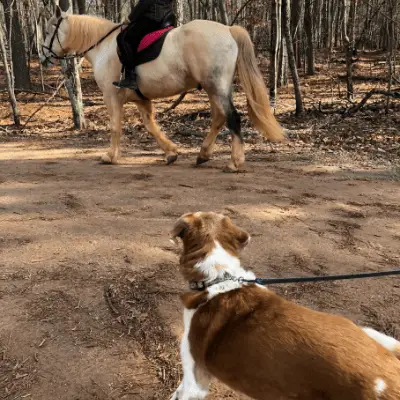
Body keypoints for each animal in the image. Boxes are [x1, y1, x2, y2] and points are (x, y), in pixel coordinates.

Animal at [40, 5, 284, 172]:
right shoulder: (140, 99)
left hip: (215, 87)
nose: (42, 57)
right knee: (219, 117)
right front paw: (171, 153)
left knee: (232, 117)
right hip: (215, 88)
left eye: (48, 31)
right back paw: (203, 155)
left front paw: (110, 156)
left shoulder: (111, 97)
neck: (104, 46)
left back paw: (235, 162)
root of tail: (228, 29)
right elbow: (150, 125)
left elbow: (115, 127)